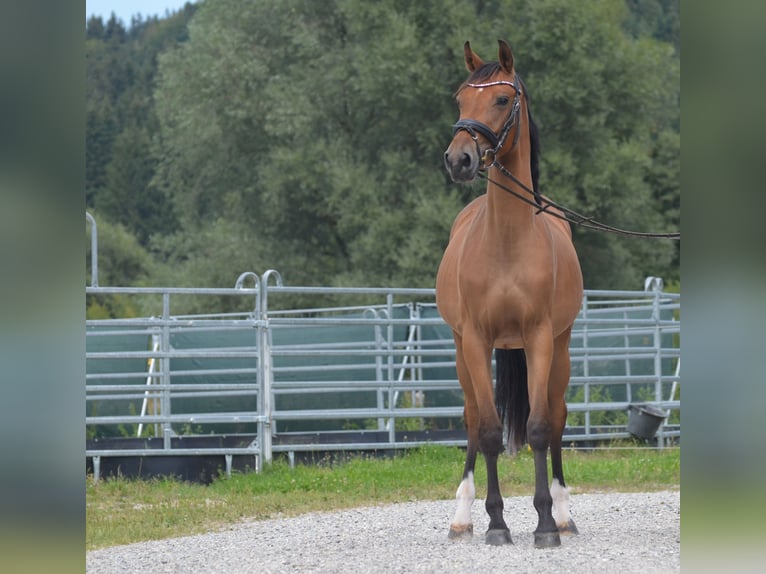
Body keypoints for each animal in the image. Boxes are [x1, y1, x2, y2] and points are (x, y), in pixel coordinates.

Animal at [436, 40, 584, 548]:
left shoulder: (539, 338)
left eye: (502, 99)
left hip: (560, 351)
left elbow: (539, 429)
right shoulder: (476, 341)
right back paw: (461, 516)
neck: (505, 242)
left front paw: (545, 525)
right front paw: (496, 523)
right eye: (460, 98)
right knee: (470, 417)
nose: (458, 159)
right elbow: (487, 431)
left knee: (556, 417)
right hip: (464, 352)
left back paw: (563, 513)